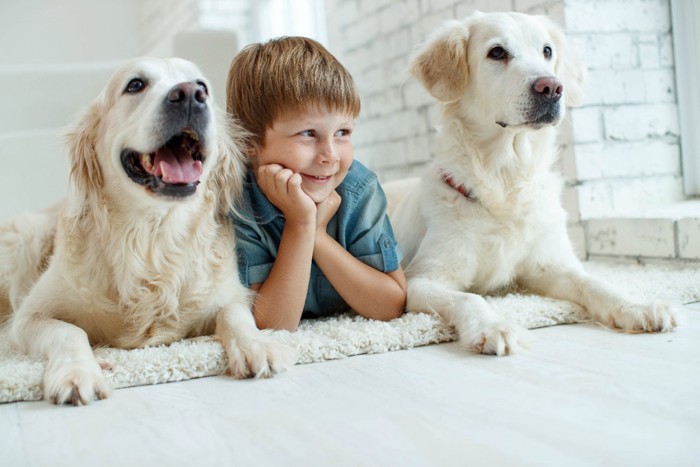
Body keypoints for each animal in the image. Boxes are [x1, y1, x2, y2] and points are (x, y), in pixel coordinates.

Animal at [0, 56, 298, 404]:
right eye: (135, 85)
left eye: (203, 86)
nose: (190, 94)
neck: (152, 235)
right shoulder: (28, 318)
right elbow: (70, 331)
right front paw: (78, 371)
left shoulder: (230, 294)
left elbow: (235, 315)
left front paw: (257, 345)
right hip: (25, 240)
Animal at [386, 11, 676, 356]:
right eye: (497, 52)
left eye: (547, 51)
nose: (551, 87)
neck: (505, 181)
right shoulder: (422, 280)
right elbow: (469, 298)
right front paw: (494, 326)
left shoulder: (550, 265)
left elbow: (594, 282)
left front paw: (636, 306)